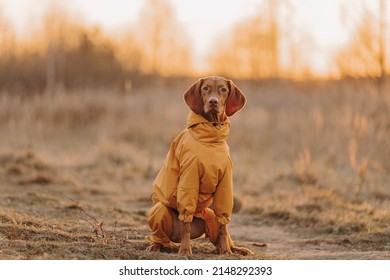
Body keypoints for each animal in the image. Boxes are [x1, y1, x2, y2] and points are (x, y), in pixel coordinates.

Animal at [146, 76, 253, 256]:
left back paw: (236, 249)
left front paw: (226, 252)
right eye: (205, 88)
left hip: (210, 217)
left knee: (223, 233)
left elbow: (224, 225)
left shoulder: (225, 183)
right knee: (164, 233)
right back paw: (156, 245)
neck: (211, 137)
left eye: (223, 89)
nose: (213, 101)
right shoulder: (190, 177)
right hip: (159, 212)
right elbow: (186, 224)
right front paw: (185, 249)